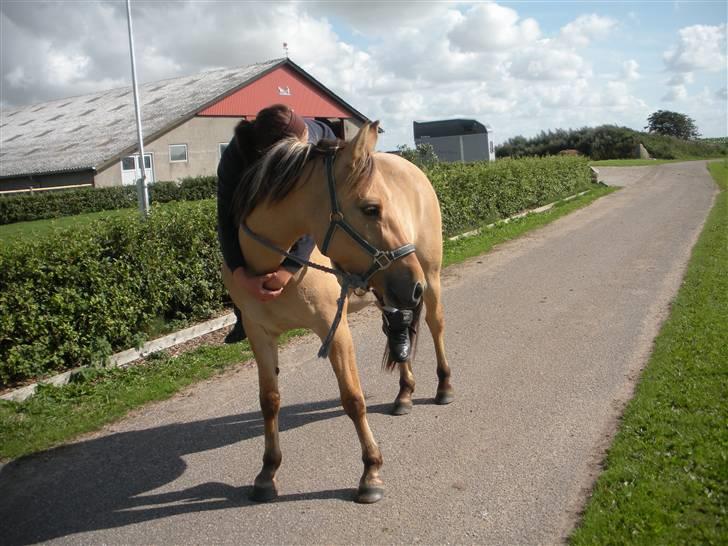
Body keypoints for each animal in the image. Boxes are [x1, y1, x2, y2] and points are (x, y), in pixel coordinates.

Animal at [225, 121, 456, 504]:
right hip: (388, 290)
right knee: (400, 329)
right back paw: (405, 393)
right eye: (371, 208)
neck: (278, 269)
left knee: (436, 326)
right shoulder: (260, 334)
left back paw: (444, 386)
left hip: (428, 276)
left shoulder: (334, 331)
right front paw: (268, 472)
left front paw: (370, 471)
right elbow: (269, 401)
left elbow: (352, 398)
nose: (415, 286)